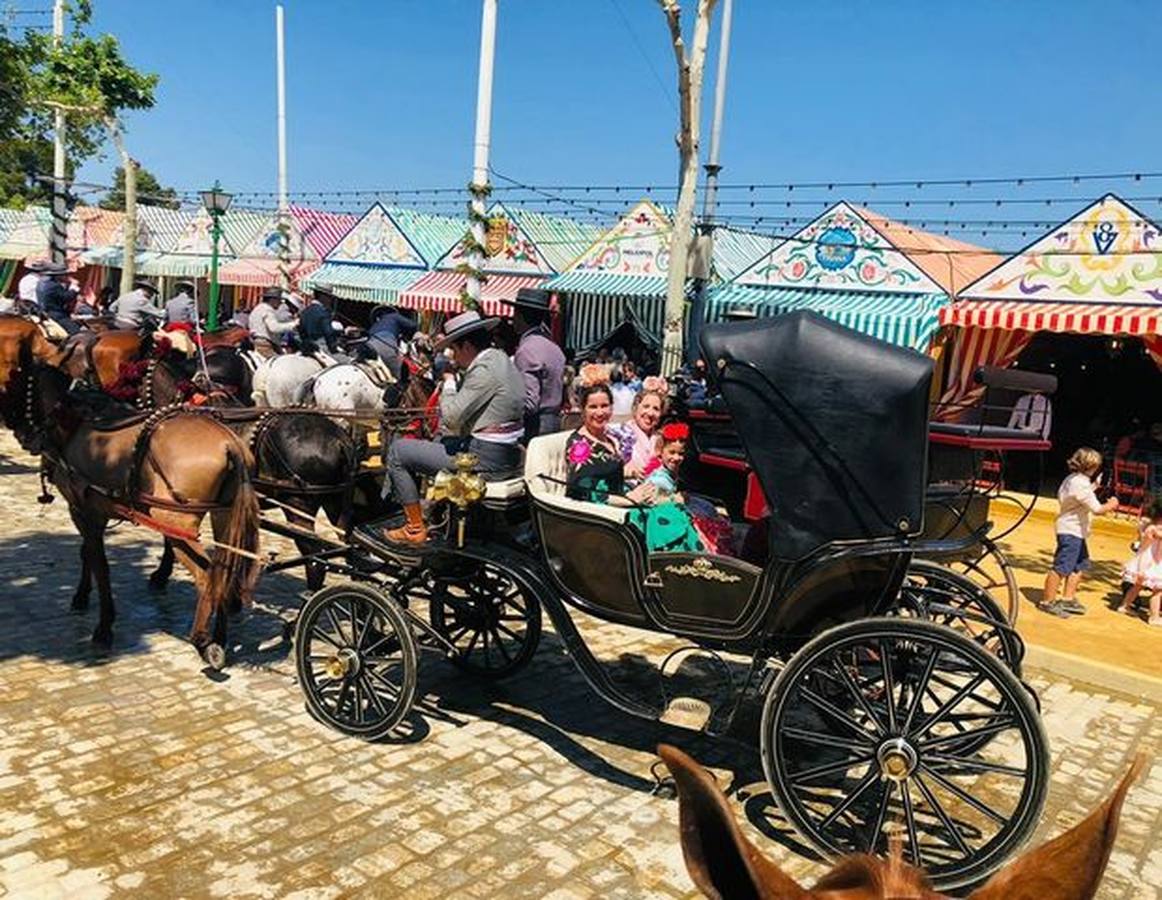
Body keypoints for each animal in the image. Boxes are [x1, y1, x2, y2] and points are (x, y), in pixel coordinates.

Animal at [1, 362, 261, 664]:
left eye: (15, 385)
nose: (20, 434)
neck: (73, 420)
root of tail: (230, 444)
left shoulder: (83, 510)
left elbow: (99, 564)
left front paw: (103, 626)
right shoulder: (94, 511)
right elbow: (87, 554)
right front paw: (82, 597)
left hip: (176, 523)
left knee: (208, 577)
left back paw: (201, 639)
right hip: (224, 516)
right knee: (224, 573)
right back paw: (220, 636)